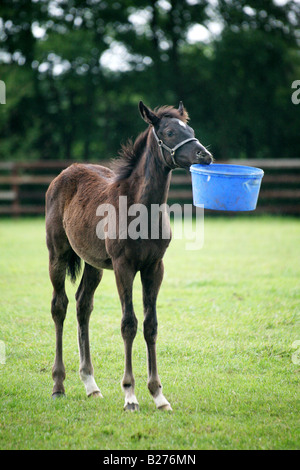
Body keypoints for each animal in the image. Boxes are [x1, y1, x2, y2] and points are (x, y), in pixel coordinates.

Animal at [45, 101, 212, 410]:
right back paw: (58, 385)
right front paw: (130, 394)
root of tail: (64, 174)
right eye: (169, 132)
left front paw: (158, 395)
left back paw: (91, 384)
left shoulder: (154, 267)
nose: (204, 155)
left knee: (83, 305)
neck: (141, 207)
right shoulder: (124, 266)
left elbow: (150, 325)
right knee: (59, 306)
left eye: (191, 129)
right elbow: (129, 324)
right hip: (57, 254)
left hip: (94, 264)